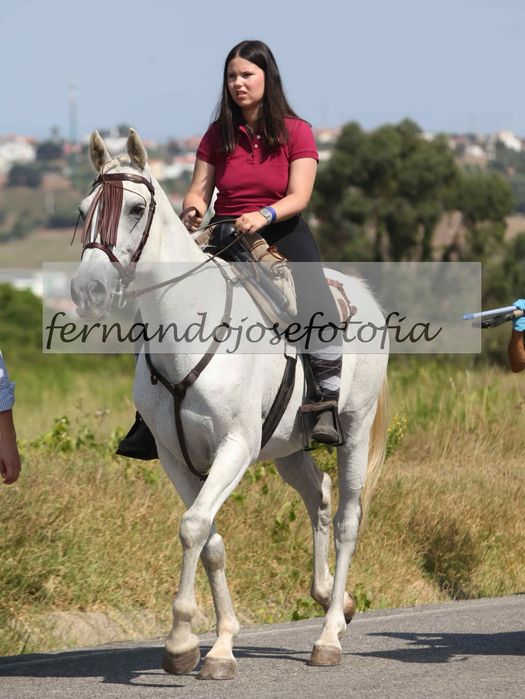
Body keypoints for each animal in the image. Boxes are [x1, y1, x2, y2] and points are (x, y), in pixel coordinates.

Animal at [70, 128, 389, 680]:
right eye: (85, 208)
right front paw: (215, 645)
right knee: (319, 497)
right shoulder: (176, 458)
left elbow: (194, 526)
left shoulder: (235, 448)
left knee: (348, 518)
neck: (186, 328)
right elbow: (210, 540)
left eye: (135, 208)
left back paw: (328, 635)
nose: (87, 290)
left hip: (354, 429)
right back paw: (335, 597)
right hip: (289, 448)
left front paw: (183, 641)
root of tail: (362, 292)